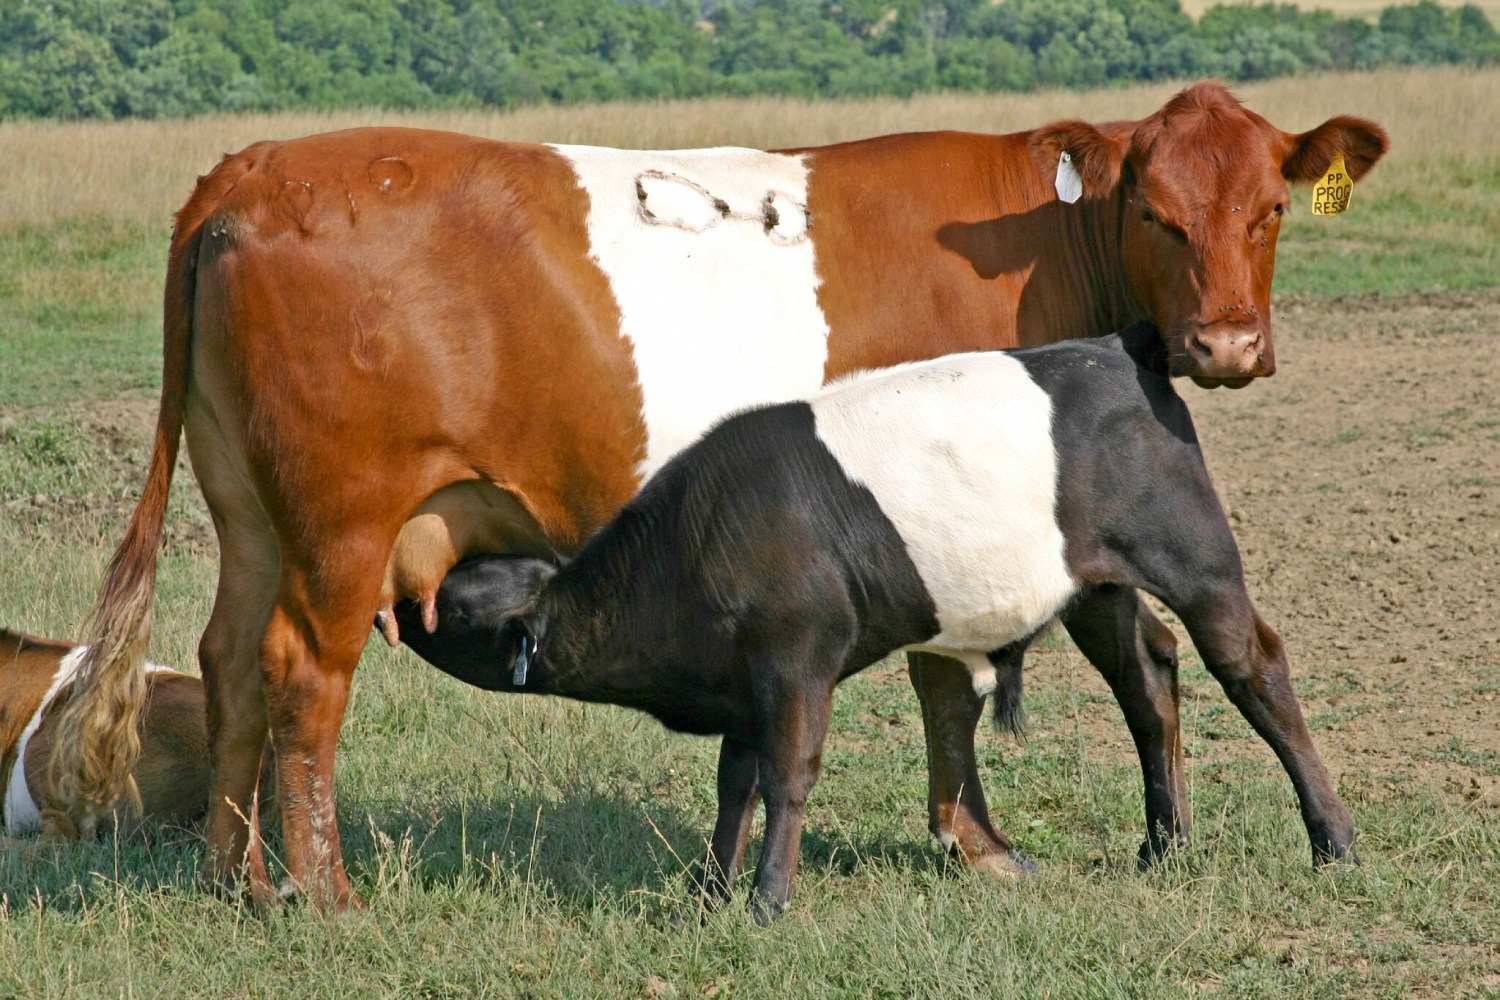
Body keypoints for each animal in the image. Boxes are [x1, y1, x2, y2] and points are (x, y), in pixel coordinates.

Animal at [393, 322, 1356, 923]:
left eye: (456, 609)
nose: (398, 608)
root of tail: (1115, 345)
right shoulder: (747, 687)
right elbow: (734, 787)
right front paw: (711, 892)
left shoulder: (797, 664)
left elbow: (787, 778)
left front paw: (766, 902)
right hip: (1099, 590)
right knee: (1147, 681)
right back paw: (1163, 847)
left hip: (1198, 562)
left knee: (1255, 670)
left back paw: (1332, 839)